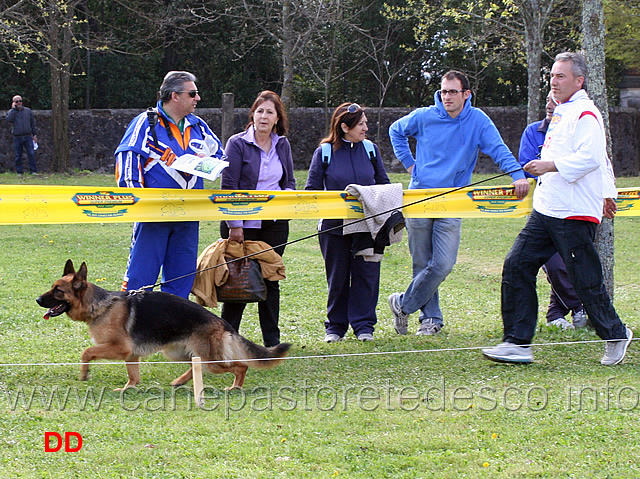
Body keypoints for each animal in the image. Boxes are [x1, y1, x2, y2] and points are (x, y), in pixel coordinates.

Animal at [36, 260, 292, 392]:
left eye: (57, 291)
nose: (37, 300)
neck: (101, 305)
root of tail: (222, 322)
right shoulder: (131, 355)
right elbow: (133, 375)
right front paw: (129, 388)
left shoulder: (120, 349)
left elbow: (86, 352)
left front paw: (84, 373)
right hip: (178, 353)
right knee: (197, 366)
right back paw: (180, 381)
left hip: (210, 359)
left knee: (240, 366)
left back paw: (235, 387)